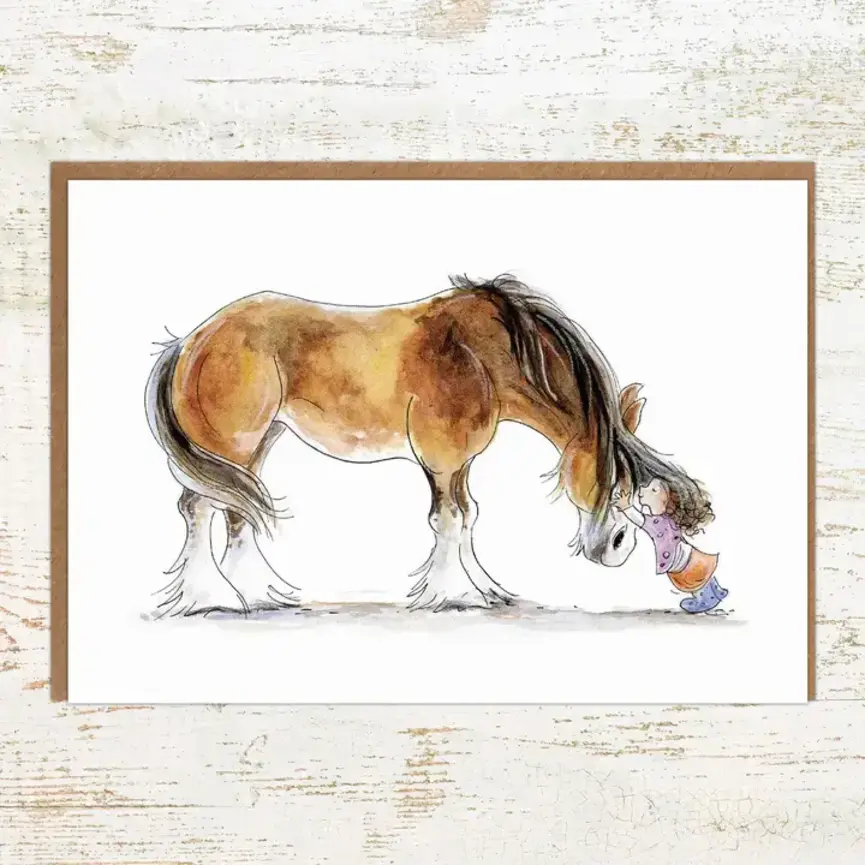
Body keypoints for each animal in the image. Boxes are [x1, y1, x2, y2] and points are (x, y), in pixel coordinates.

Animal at [145, 274, 709, 616]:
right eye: (617, 479)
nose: (614, 548)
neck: (484, 354)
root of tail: (191, 340)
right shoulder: (441, 458)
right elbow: (449, 520)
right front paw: (448, 594)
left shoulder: (460, 461)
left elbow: (468, 517)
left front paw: (485, 591)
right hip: (232, 446)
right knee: (201, 508)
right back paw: (211, 597)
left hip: (254, 448)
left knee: (232, 510)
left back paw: (256, 594)